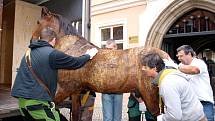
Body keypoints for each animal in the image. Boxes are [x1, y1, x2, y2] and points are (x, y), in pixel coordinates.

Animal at [32, 7, 168, 120]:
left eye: (38, 22)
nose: (32, 40)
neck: (73, 49)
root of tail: (163, 56)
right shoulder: (76, 92)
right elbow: (75, 114)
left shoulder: (65, 88)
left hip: (150, 95)